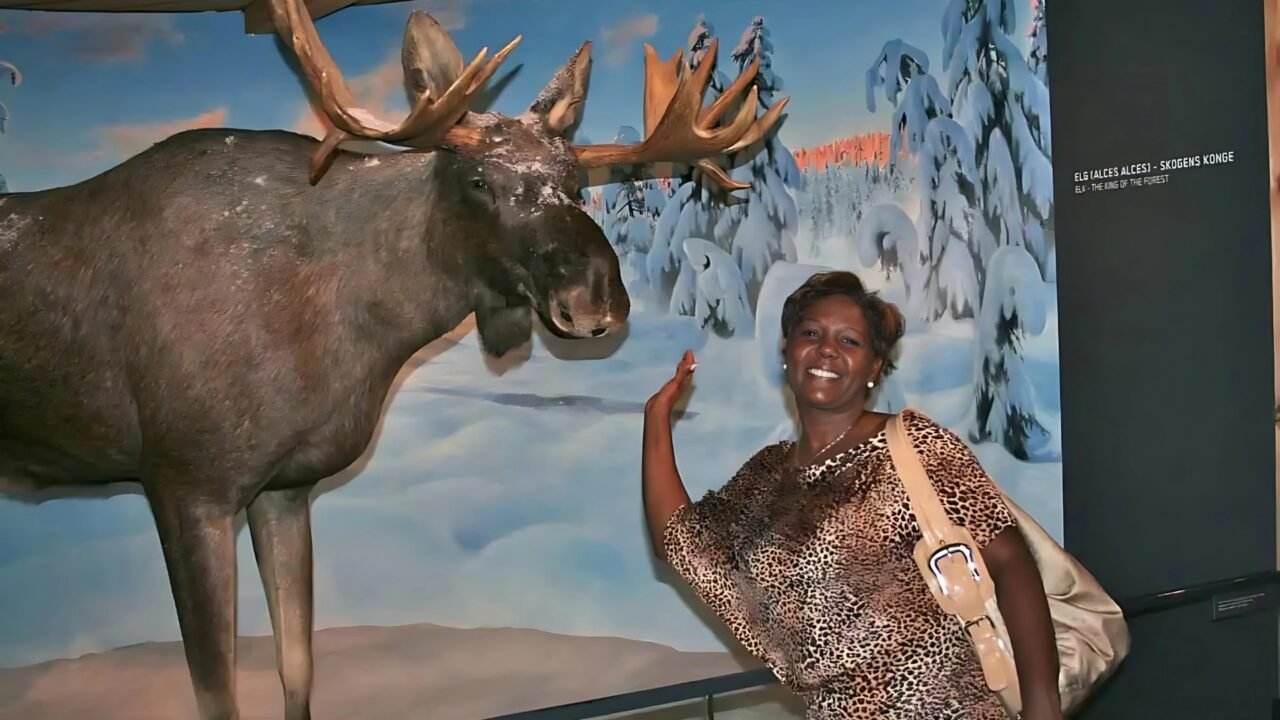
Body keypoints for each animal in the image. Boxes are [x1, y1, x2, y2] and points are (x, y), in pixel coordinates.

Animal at [0, 0, 787, 718]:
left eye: (573, 179)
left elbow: (298, 668)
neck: (350, 331)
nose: (596, 295)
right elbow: (217, 693)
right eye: (476, 180)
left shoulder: (285, 487)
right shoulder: (184, 483)